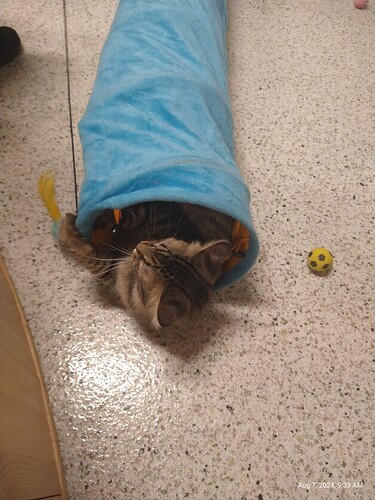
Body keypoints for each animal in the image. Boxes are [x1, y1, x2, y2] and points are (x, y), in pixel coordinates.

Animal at [58, 201, 235, 330]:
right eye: (161, 244)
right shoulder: (156, 210)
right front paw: (100, 218)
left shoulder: (111, 270)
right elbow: (125, 213)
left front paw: (66, 227)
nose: (139, 246)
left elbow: (87, 255)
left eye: (143, 265)